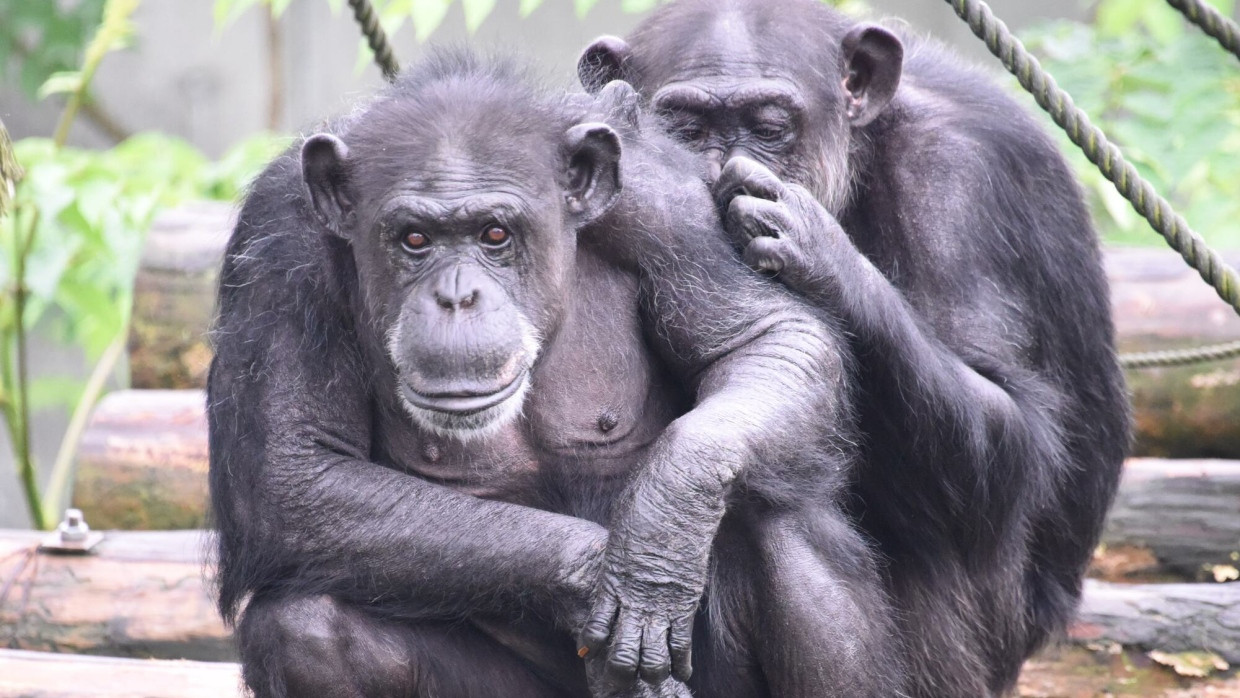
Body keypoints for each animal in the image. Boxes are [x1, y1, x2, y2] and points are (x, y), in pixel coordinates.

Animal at [208, 51, 907, 698]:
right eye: (413, 239)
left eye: (495, 234)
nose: (456, 297)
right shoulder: (281, 247)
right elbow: (295, 471)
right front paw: (598, 571)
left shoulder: (664, 204)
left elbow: (766, 338)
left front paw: (661, 529)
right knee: (307, 630)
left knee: (780, 513)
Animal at [580, 0, 1135, 694]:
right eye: (684, 128)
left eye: (771, 127)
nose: (713, 174)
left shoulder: (957, 177)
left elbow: (1017, 430)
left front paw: (816, 246)